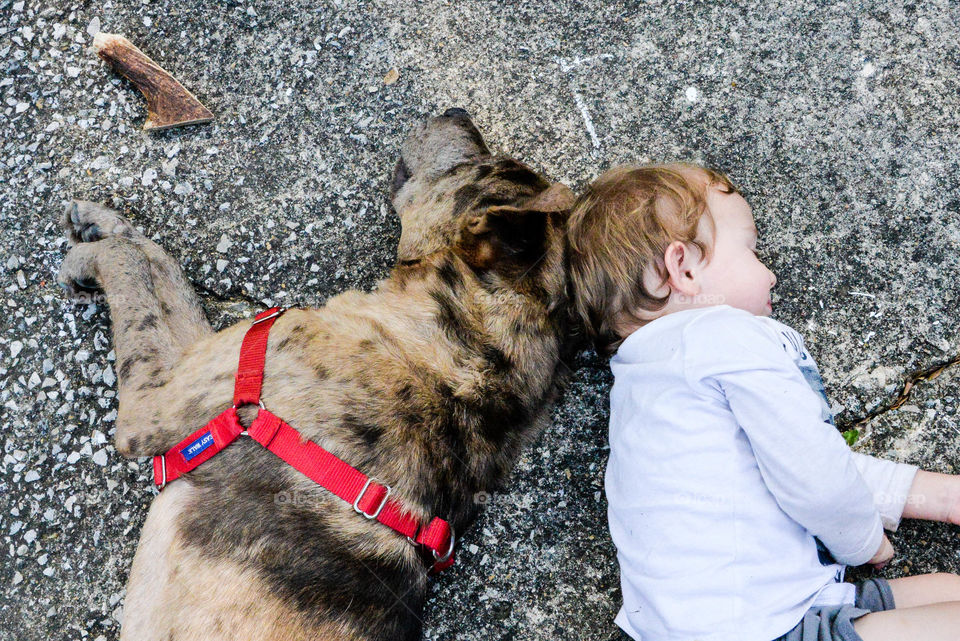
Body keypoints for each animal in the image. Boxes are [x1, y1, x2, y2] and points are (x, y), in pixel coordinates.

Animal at [60, 110, 580, 640]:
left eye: (479, 166)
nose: (457, 113)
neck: (466, 352)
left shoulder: (161, 397)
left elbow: (132, 267)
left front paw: (84, 260)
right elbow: (160, 265)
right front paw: (104, 222)